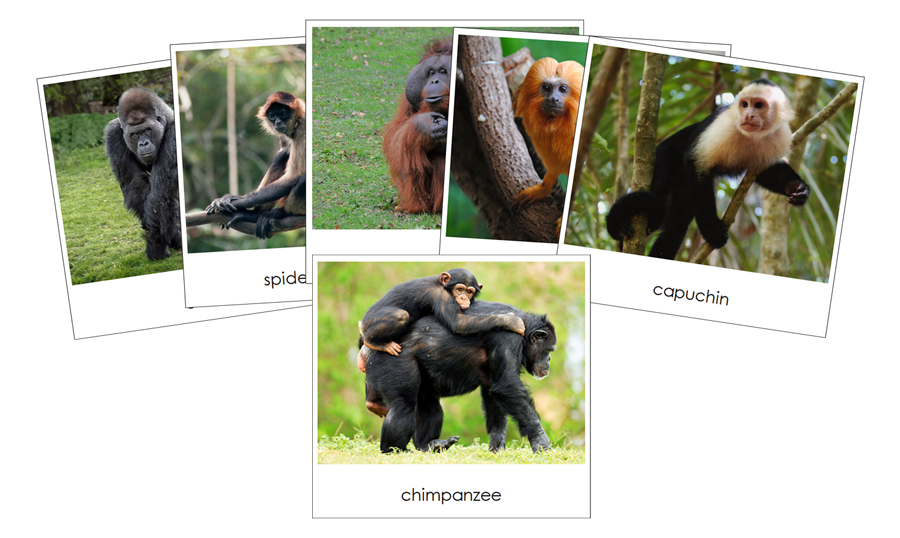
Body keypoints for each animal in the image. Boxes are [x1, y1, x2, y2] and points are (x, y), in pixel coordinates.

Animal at [206, 91, 306, 239]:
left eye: (283, 113)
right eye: (272, 115)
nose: (277, 122)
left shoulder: (303, 126)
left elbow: (296, 174)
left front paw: (238, 200)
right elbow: (284, 153)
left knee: (303, 178)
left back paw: (280, 213)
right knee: (283, 155)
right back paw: (254, 214)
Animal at [606, 79, 810, 259]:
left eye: (759, 105)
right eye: (745, 104)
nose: (748, 115)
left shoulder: (780, 135)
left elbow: (767, 171)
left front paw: (797, 187)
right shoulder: (724, 124)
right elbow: (695, 162)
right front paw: (711, 229)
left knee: (676, 223)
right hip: (663, 157)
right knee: (660, 194)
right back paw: (624, 228)